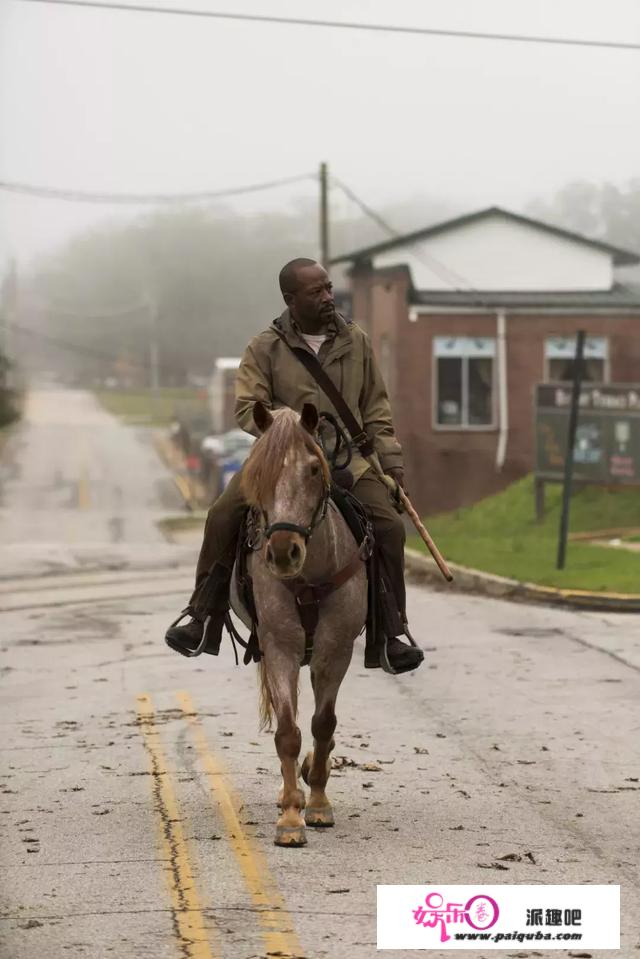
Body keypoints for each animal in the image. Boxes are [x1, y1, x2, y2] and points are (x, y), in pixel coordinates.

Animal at [240, 400, 368, 848]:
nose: (282, 552)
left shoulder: (335, 650)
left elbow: (322, 724)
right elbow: (288, 732)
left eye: (313, 469)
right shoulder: (280, 646)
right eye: (258, 470)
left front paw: (317, 803)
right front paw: (291, 818)